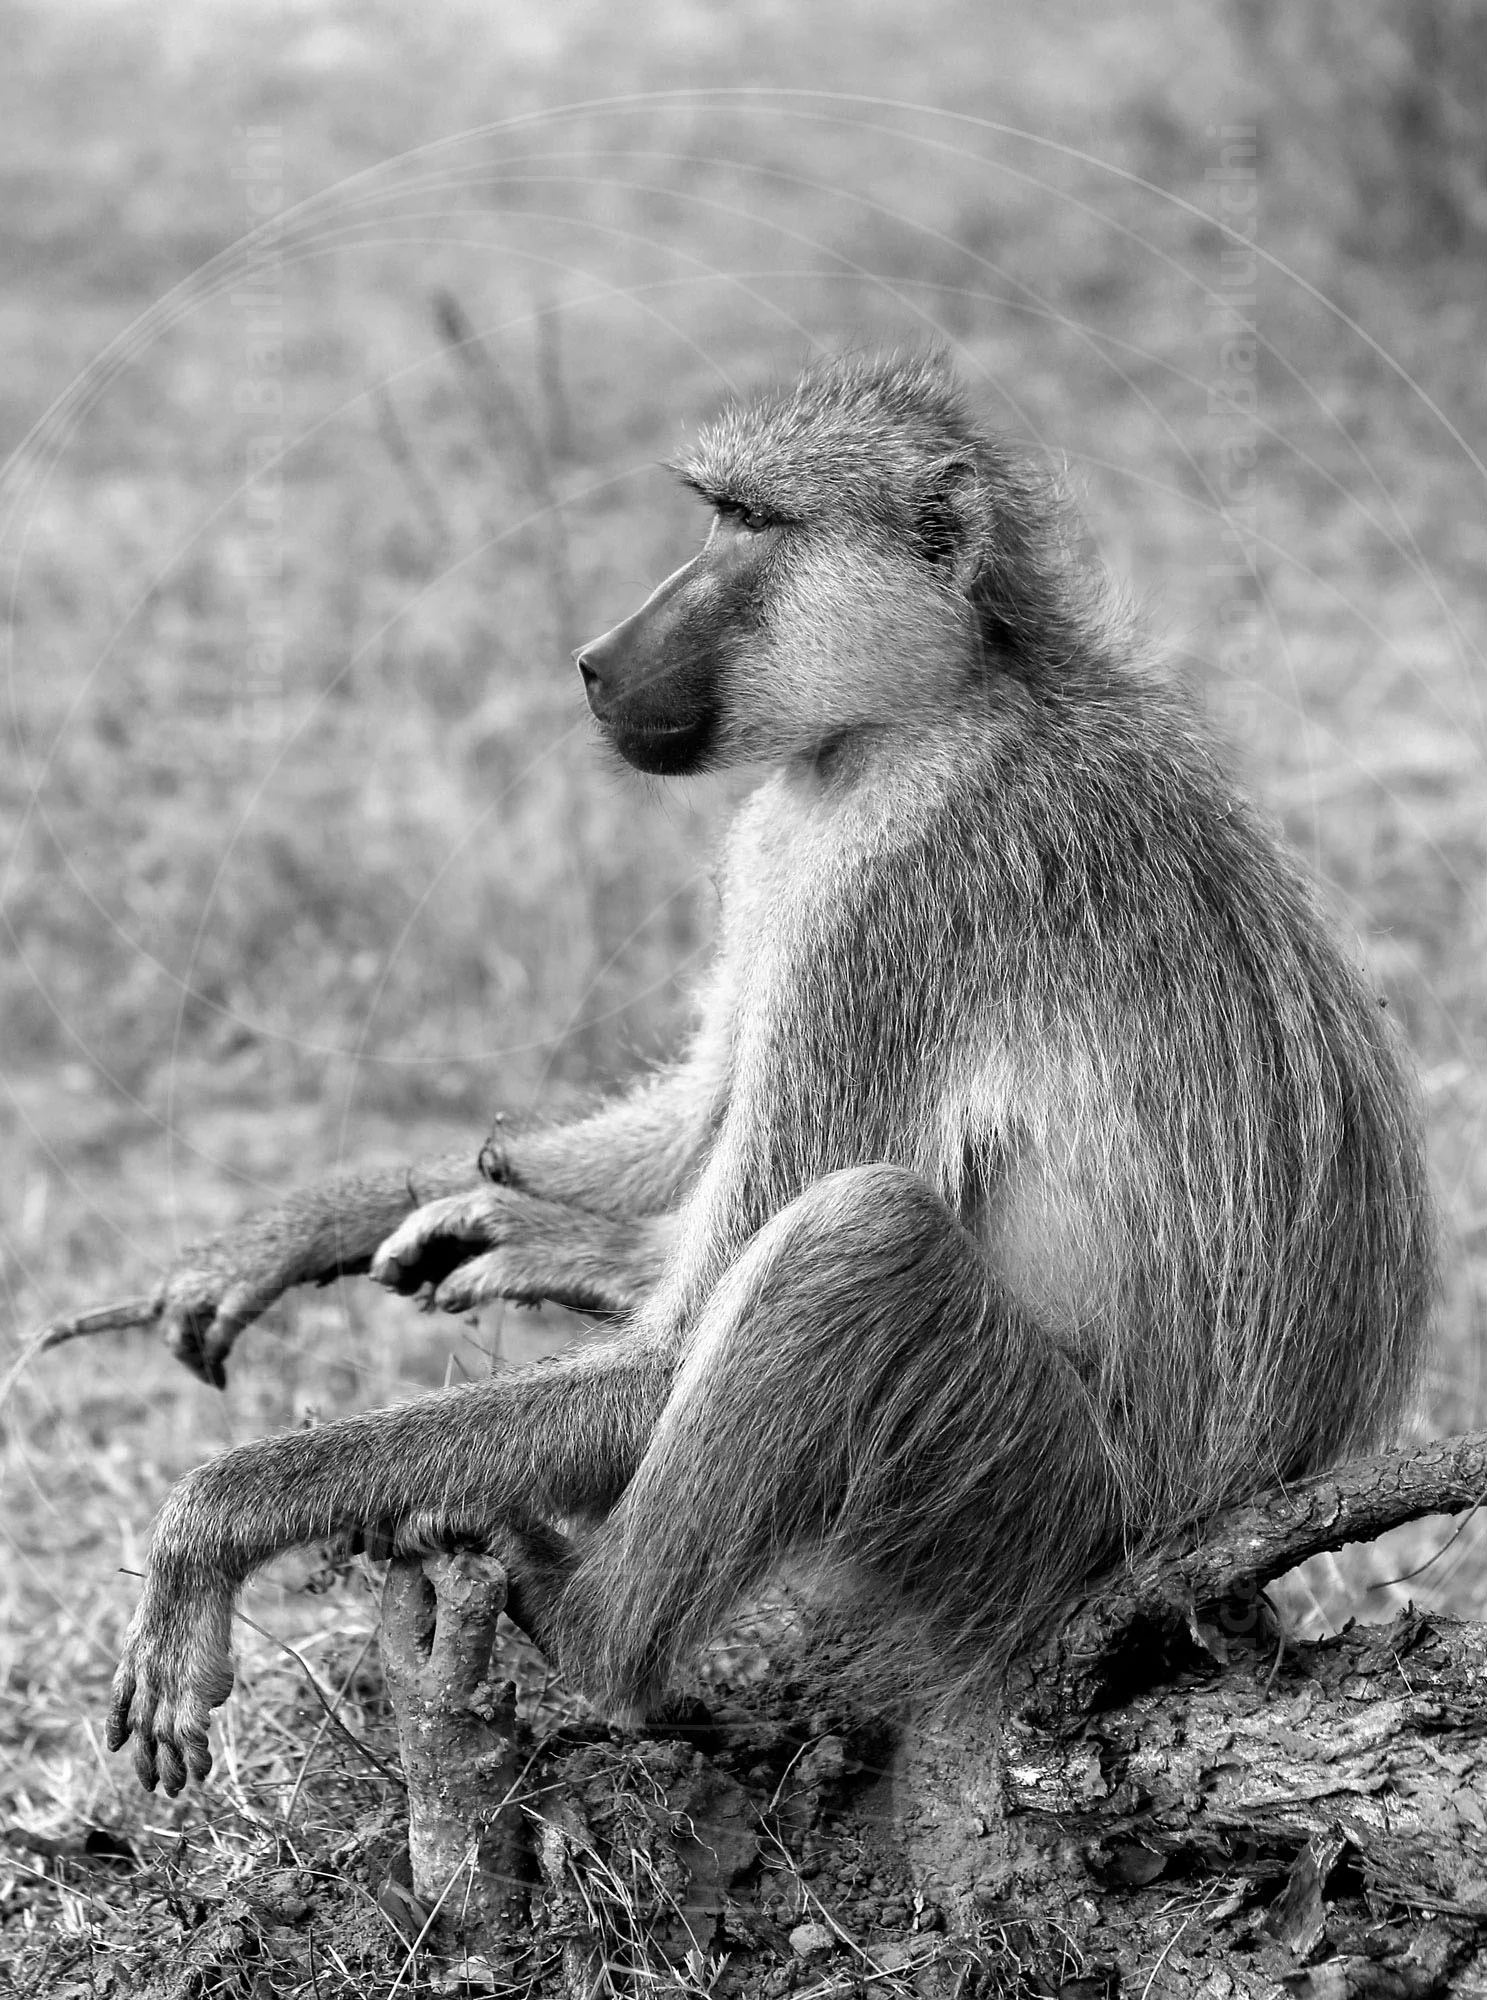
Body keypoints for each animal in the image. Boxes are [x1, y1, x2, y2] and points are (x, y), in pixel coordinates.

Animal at [101, 351, 1434, 1796]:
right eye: (714, 513)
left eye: (754, 522)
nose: (594, 662)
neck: (909, 716)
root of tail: (1224, 1540)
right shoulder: (779, 841)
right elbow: (697, 1117)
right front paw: (321, 1222)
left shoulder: (892, 906)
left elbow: (678, 1346)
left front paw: (216, 1519)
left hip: (1040, 1505)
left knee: (856, 1239)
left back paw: (591, 1630)